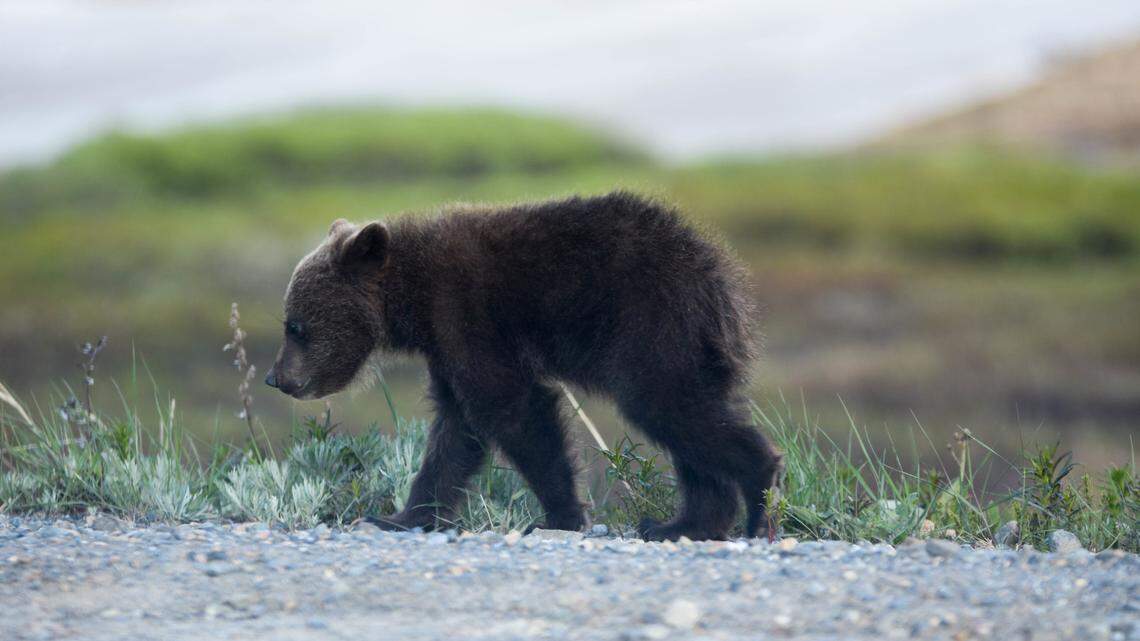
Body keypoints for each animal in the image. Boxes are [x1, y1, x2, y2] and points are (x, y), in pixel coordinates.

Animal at [265, 191, 781, 540]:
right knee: (690, 425)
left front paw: (563, 514)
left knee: (669, 407)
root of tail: (721, 273)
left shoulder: (469, 316)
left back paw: (758, 499)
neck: (413, 299)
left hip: (650, 324)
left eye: (295, 325)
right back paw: (681, 523)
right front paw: (401, 515)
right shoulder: (446, 347)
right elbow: (455, 432)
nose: (276, 378)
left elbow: (512, 409)